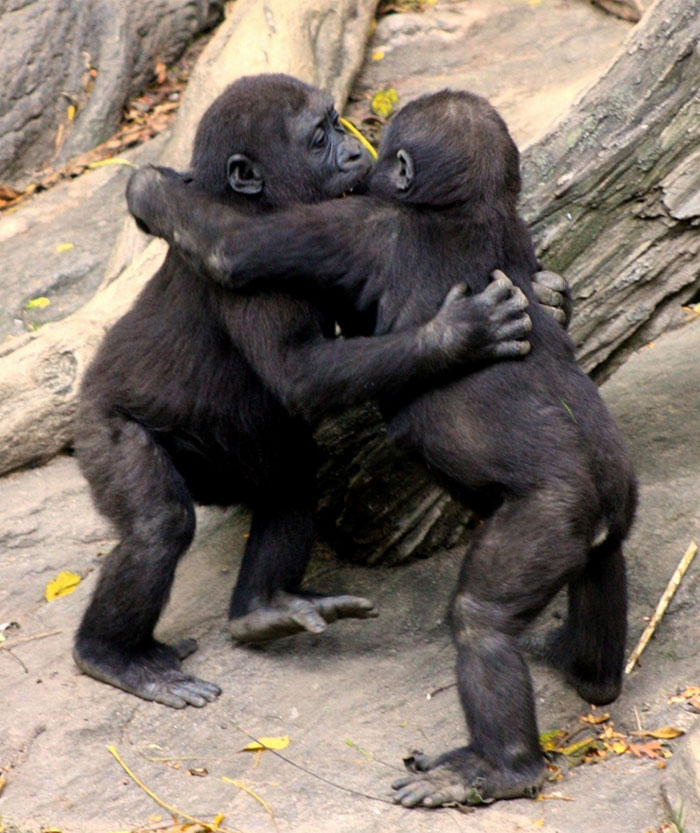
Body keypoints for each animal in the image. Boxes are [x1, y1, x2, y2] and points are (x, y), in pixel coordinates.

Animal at [129, 89, 636, 800]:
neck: (463, 208)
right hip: (612, 498)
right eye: (324, 133)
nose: (356, 152)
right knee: (601, 565)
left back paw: (500, 767)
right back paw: (585, 669)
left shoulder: (363, 225)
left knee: (482, 618)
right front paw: (532, 303)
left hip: (553, 513)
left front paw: (150, 191)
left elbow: (233, 248)